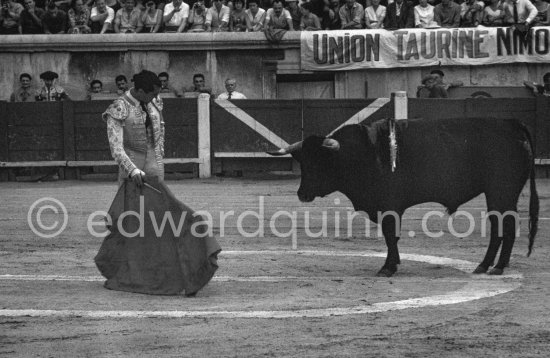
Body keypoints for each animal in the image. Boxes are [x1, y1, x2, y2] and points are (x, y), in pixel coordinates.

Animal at [270, 117, 540, 276]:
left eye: (319, 162)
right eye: (303, 162)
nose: (302, 194)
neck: (363, 153)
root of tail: (512, 124)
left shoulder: (389, 207)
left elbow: (391, 235)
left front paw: (388, 267)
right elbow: (392, 237)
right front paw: (393, 264)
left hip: (501, 191)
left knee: (505, 225)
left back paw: (496, 267)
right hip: (498, 194)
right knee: (499, 226)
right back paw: (486, 265)